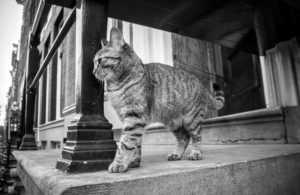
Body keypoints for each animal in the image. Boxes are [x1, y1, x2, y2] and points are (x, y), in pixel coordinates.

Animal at [92, 27, 224, 172]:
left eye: (100, 61)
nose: (93, 72)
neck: (116, 85)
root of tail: (202, 85)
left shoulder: (134, 117)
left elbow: (125, 143)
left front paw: (119, 163)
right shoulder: (131, 119)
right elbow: (135, 144)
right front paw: (133, 162)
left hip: (192, 119)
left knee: (196, 136)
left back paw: (195, 153)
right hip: (174, 122)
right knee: (184, 138)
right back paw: (176, 154)